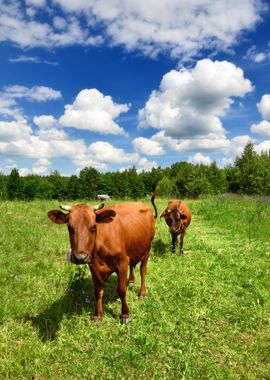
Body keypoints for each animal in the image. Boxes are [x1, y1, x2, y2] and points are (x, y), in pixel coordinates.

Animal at [46, 197, 156, 326]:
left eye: (94, 227)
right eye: (69, 228)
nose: (80, 257)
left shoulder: (122, 263)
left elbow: (121, 290)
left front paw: (125, 315)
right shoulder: (93, 267)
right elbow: (98, 292)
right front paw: (98, 315)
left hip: (148, 249)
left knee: (143, 270)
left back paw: (142, 293)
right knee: (133, 266)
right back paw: (131, 281)